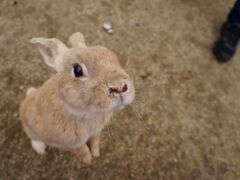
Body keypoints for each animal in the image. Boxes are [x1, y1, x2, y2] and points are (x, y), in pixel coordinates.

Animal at [18, 32, 135, 165]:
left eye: (114, 58)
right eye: (77, 70)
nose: (120, 87)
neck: (87, 114)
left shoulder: (96, 132)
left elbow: (94, 142)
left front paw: (95, 154)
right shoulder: (71, 143)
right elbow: (82, 150)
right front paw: (88, 160)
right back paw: (40, 149)